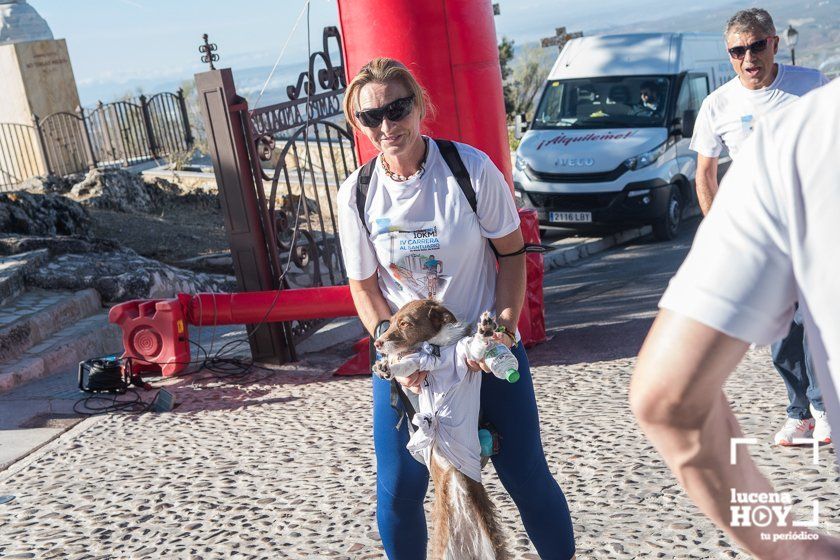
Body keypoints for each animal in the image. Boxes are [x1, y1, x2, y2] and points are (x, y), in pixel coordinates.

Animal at [374, 300, 512, 560]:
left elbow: (476, 346)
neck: (436, 351)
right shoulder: (419, 365)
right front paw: (386, 367)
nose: (377, 343)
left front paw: (485, 330)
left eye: (405, 323)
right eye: (392, 320)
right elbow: (406, 365)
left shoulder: (464, 356)